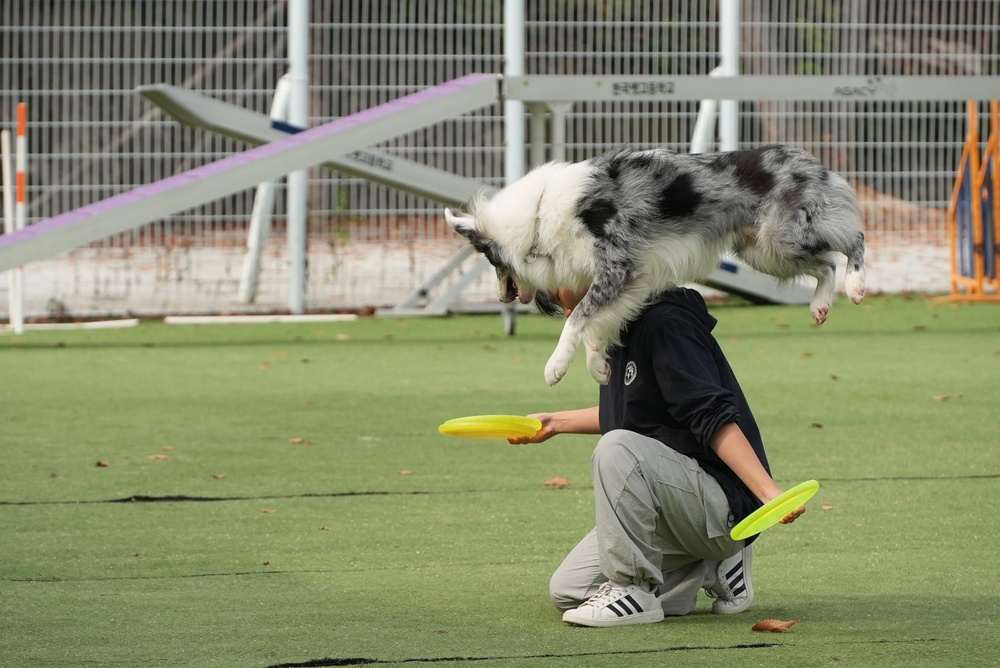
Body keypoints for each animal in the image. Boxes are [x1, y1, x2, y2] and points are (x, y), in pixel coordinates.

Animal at [448, 146, 868, 386]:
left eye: (490, 261)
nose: (503, 298)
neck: (538, 213)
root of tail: (811, 160)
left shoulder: (620, 268)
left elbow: (577, 318)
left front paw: (556, 366)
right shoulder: (626, 280)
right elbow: (597, 322)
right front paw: (598, 365)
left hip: (784, 237)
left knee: (852, 239)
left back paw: (857, 284)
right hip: (765, 251)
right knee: (825, 265)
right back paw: (820, 305)